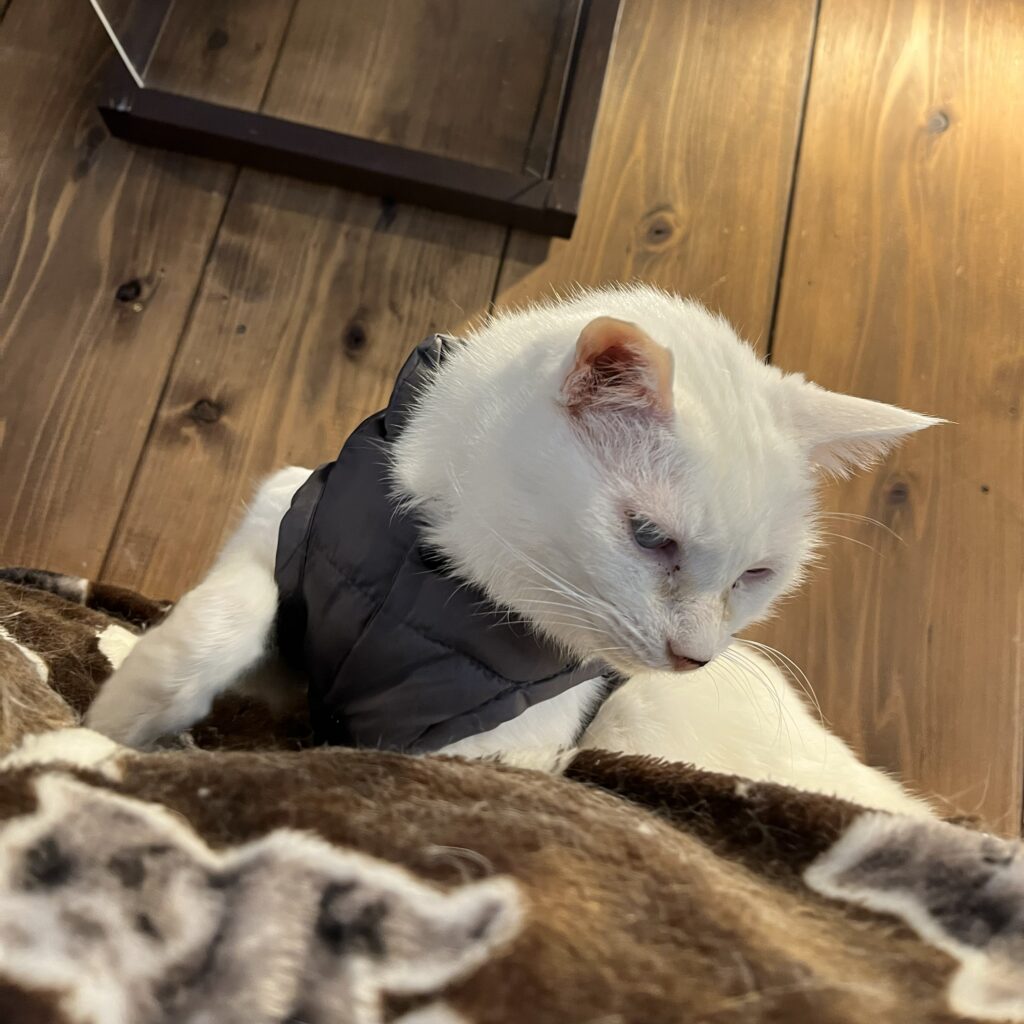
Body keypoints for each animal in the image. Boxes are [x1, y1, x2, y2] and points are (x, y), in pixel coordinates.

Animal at [86, 284, 940, 817]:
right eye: (650, 538)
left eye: (756, 575)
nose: (694, 654)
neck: (446, 572)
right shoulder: (292, 508)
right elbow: (224, 613)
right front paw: (129, 696)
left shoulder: (489, 748)